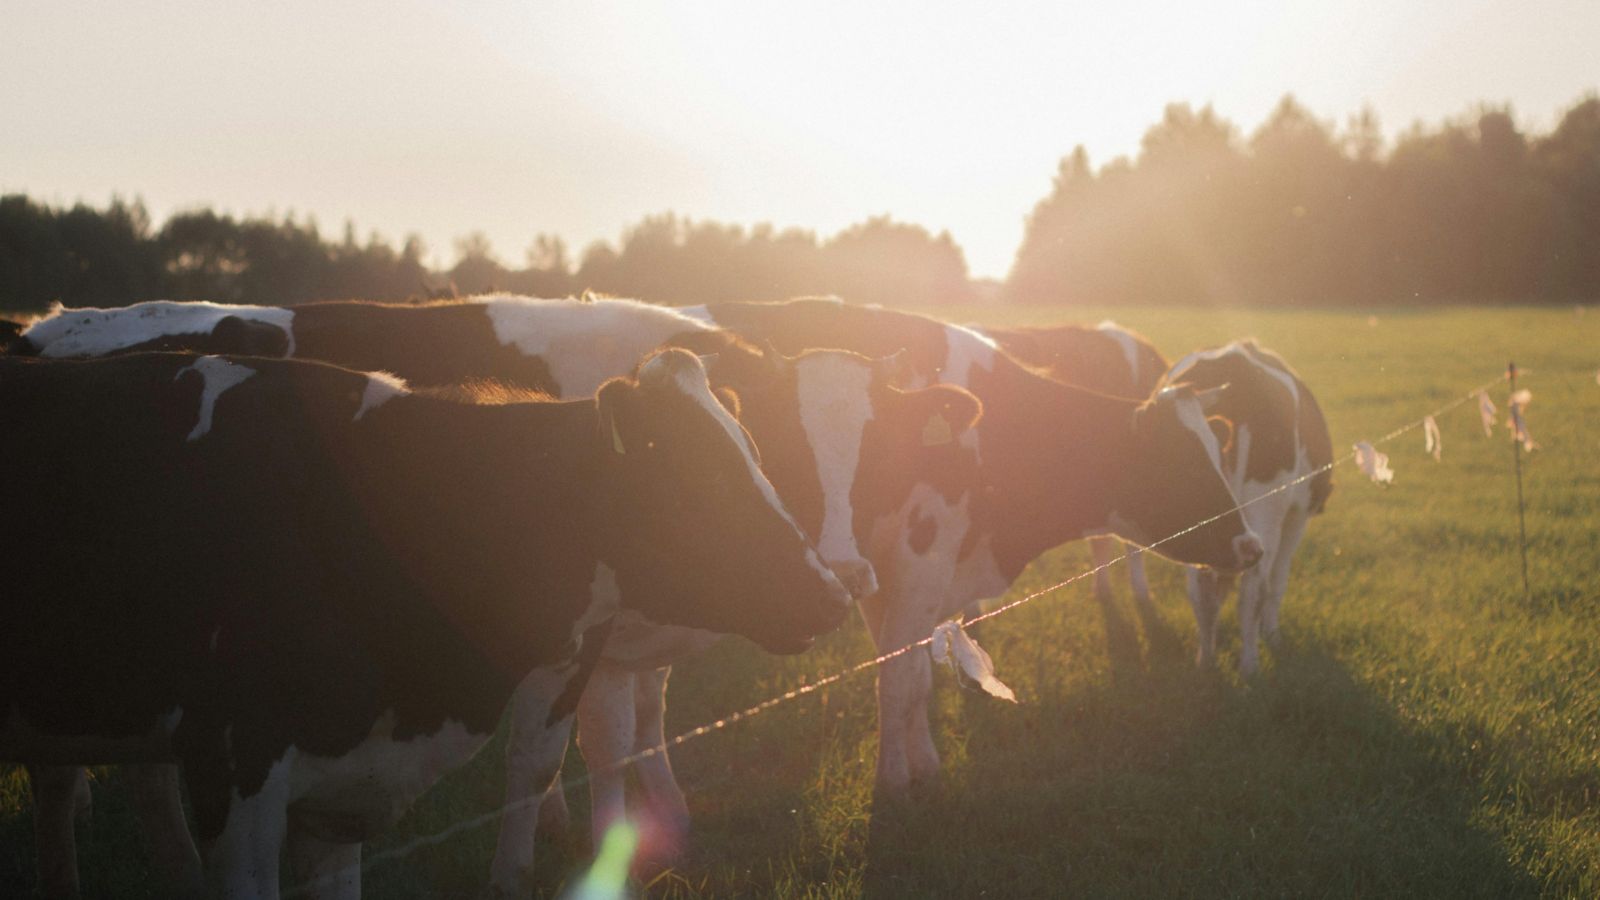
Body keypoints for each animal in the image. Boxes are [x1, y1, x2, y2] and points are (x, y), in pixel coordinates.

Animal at [15, 296, 981, 897]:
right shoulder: (586, 639)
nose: (844, 575)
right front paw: (591, 849)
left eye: (877, 448)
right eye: (781, 437)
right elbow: (586, 747)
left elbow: (624, 731)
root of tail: (48, 325)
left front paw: (655, 819)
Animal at [1158, 341, 1334, 675]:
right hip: (1264, 510)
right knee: (1254, 590)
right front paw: (1273, 636)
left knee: (1201, 593)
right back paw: (1250, 665)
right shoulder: (1297, 517)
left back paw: (1206, 662)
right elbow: (1277, 581)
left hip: (1194, 522)